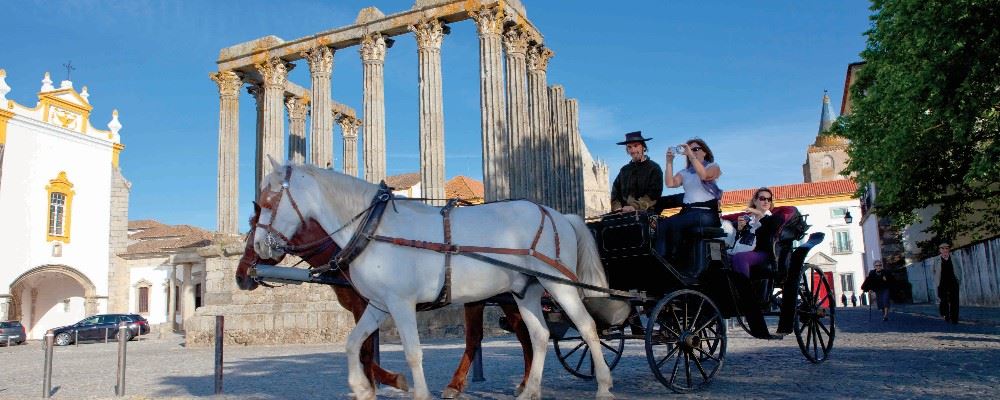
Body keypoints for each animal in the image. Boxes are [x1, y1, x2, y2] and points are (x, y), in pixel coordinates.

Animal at [235, 205, 536, 398]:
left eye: (253, 230)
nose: (240, 276)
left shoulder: (366, 305)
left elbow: (366, 351)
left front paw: (387, 381)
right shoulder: (370, 307)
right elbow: (362, 347)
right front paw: (372, 384)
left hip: (509, 298)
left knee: (522, 334)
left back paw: (524, 383)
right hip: (481, 299)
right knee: (483, 337)